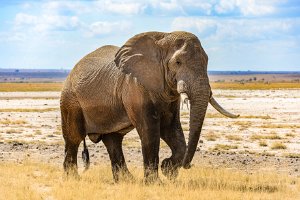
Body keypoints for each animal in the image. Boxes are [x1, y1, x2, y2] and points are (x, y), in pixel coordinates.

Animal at [60, 30, 239, 183]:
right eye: (178, 62)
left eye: (207, 61)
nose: (187, 166)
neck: (163, 38)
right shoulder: (135, 87)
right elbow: (149, 131)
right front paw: (156, 183)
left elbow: (171, 129)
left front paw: (168, 170)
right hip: (71, 101)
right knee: (74, 138)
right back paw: (73, 179)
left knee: (113, 140)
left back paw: (126, 181)